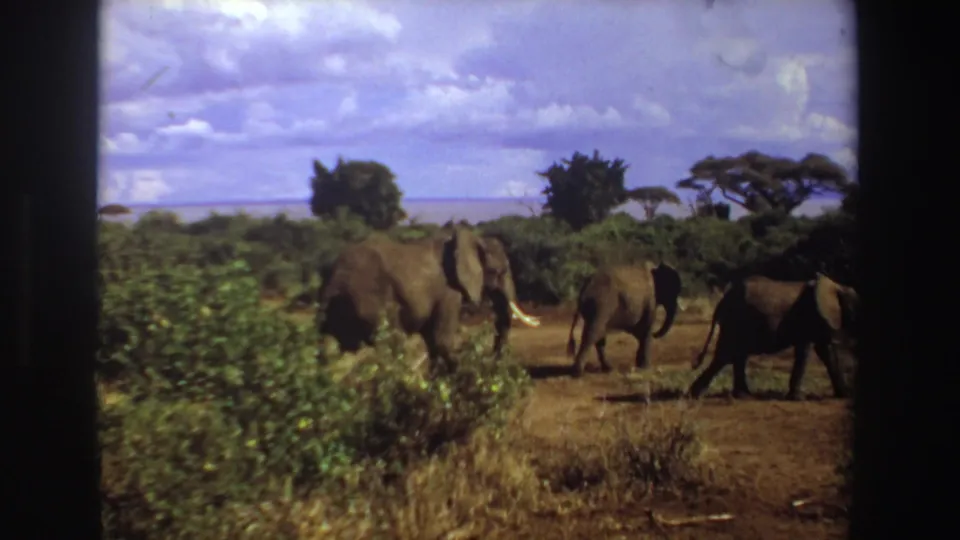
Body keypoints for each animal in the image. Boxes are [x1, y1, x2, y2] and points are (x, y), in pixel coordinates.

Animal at [316, 227, 541, 370]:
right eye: (499, 272)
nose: (492, 359)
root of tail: (332, 280)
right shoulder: (448, 292)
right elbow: (441, 340)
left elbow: (432, 341)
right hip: (370, 301)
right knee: (393, 343)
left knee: (331, 351)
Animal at [687, 273, 859, 400]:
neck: (837, 286)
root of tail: (723, 299)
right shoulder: (808, 317)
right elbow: (805, 351)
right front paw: (797, 398)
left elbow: (826, 352)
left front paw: (845, 395)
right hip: (736, 321)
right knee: (726, 355)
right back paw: (697, 395)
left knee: (734, 356)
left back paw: (740, 396)